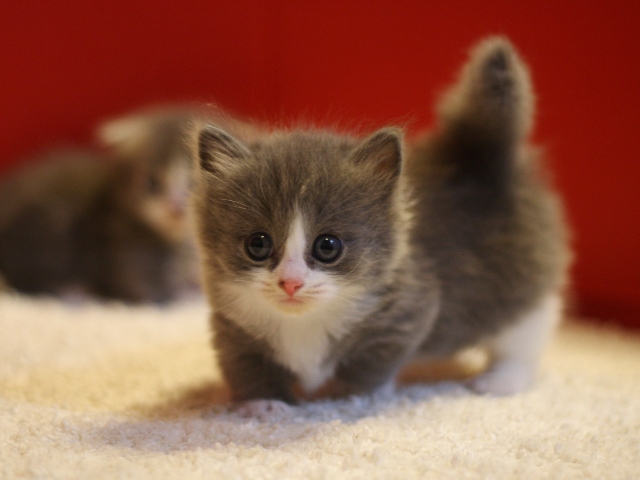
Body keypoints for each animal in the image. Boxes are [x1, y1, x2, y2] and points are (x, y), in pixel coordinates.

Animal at [0, 109, 202, 304]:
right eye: (151, 183)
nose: (176, 207)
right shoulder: (121, 251)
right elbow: (146, 291)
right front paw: (187, 296)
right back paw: (72, 293)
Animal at [190, 36, 568, 404]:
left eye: (328, 246)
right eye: (258, 244)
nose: (291, 283)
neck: (305, 319)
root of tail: (479, 154)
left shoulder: (409, 309)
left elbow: (373, 362)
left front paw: (350, 394)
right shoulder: (231, 324)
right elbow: (245, 362)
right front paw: (264, 403)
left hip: (521, 284)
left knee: (524, 337)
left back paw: (500, 380)